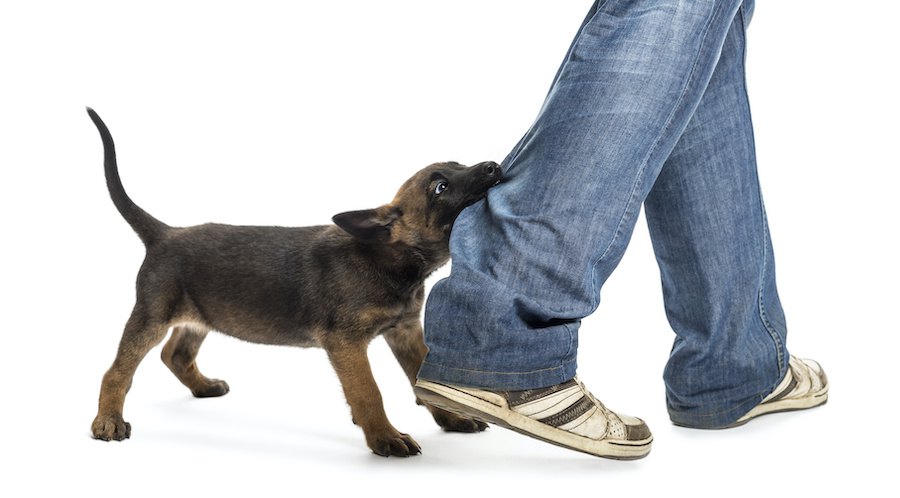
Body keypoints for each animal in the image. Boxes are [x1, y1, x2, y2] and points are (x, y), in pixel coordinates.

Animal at [88, 109, 502, 456]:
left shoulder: (404, 332)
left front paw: (451, 418)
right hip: (152, 316)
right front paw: (384, 436)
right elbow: (368, 392)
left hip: (200, 315)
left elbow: (424, 383)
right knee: (117, 371)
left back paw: (203, 387)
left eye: (459, 166)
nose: (493, 166)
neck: (388, 258)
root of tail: (164, 234)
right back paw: (108, 421)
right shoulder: (346, 342)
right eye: (440, 188)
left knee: (175, 355)